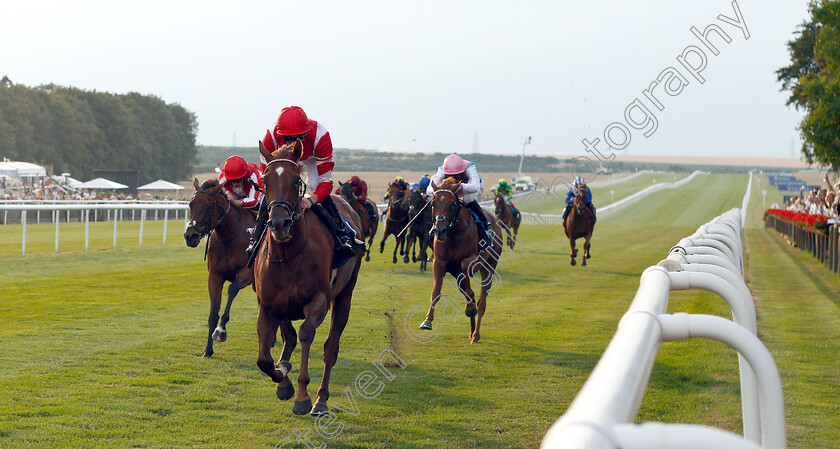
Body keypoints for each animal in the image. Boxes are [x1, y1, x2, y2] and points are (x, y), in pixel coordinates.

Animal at [186, 178, 256, 356]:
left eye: (210, 206)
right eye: (190, 204)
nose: (190, 236)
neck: (229, 238)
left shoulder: (247, 274)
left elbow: (232, 289)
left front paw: (221, 331)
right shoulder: (215, 276)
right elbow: (213, 314)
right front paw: (208, 350)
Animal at [253, 140, 364, 416]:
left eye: (295, 181)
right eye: (265, 180)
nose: (279, 223)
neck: (287, 255)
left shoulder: (319, 301)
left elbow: (305, 334)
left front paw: (302, 396)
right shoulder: (268, 305)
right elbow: (265, 358)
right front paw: (283, 378)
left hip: (345, 295)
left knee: (330, 348)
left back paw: (321, 400)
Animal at [418, 177, 498, 342]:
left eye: (452, 204)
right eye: (433, 203)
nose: (440, 230)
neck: (453, 232)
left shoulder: (473, 259)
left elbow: (465, 264)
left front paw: (471, 308)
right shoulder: (439, 262)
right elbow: (436, 292)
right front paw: (427, 321)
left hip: (489, 268)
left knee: (482, 302)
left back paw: (476, 334)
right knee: (470, 294)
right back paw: (471, 327)